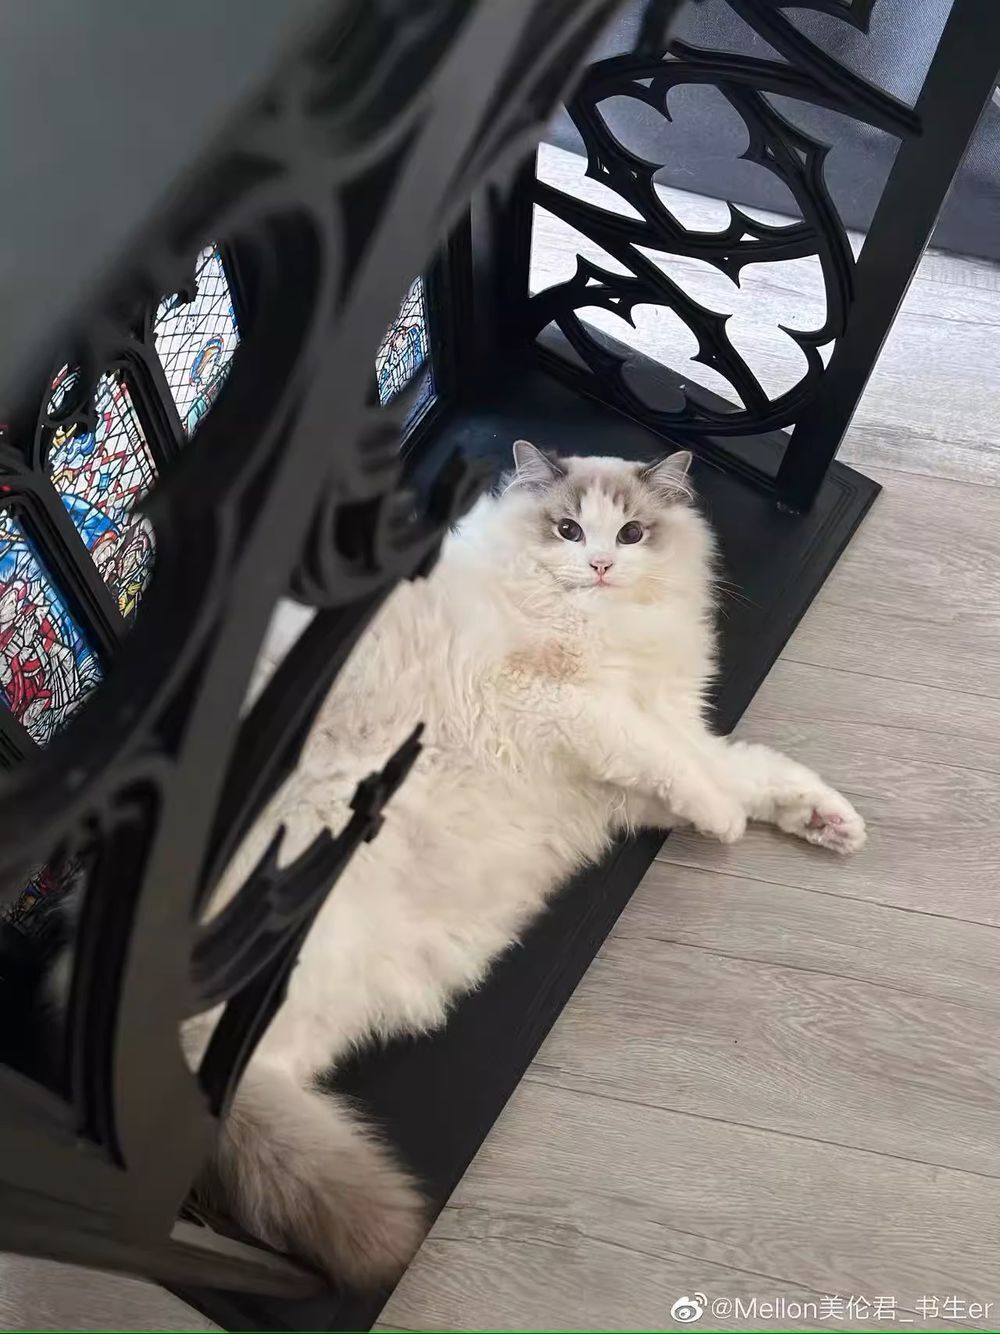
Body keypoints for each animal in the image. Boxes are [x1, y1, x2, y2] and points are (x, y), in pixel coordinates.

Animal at [193, 440, 866, 1286]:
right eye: (570, 530)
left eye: (634, 534)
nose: (603, 565)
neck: (599, 624)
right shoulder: (560, 705)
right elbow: (682, 769)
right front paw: (726, 824)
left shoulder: (658, 750)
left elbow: (741, 770)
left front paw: (829, 824)